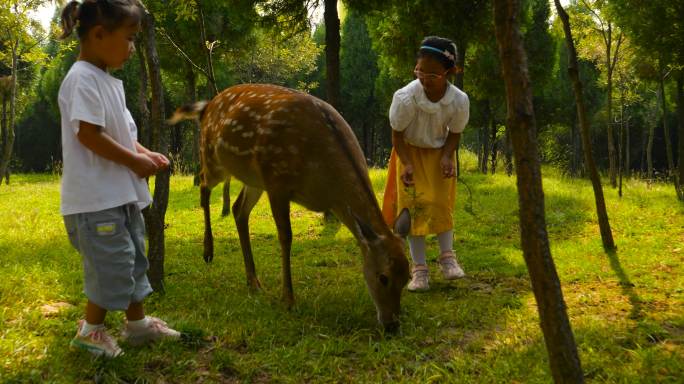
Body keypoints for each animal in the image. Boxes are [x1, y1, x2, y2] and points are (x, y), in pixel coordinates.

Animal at [169, 84, 412, 330]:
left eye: (407, 277)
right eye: (383, 277)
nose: (392, 324)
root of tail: (206, 108)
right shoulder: (278, 182)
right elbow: (286, 237)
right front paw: (288, 299)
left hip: (253, 178)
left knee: (238, 209)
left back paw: (253, 282)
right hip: (213, 157)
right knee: (203, 185)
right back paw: (208, 251)